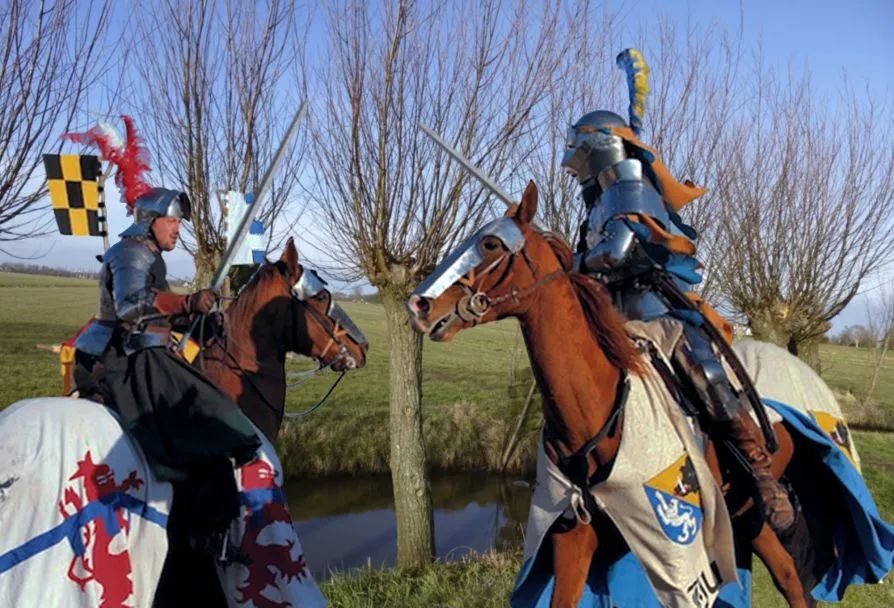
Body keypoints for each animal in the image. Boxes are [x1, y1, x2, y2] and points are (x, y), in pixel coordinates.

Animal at [406, 181, 892, 608]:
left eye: (489, 245)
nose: (419, 305)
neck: (598, 403)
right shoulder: (572, 535)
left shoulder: (675, 553)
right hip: (742, 515)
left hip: (755, 510)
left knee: (791, 579)